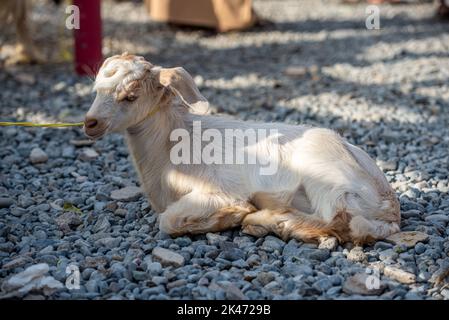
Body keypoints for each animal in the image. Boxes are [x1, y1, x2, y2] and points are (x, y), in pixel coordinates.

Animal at [83, 53, 400, 245]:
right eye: (96, 89)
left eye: (131, 95)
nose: (90, 123)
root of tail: (389, 210)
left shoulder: (221, 190)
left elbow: (168, 220)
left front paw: (235, 214)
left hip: (325, 180)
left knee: (340, 221)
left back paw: (267, 220)